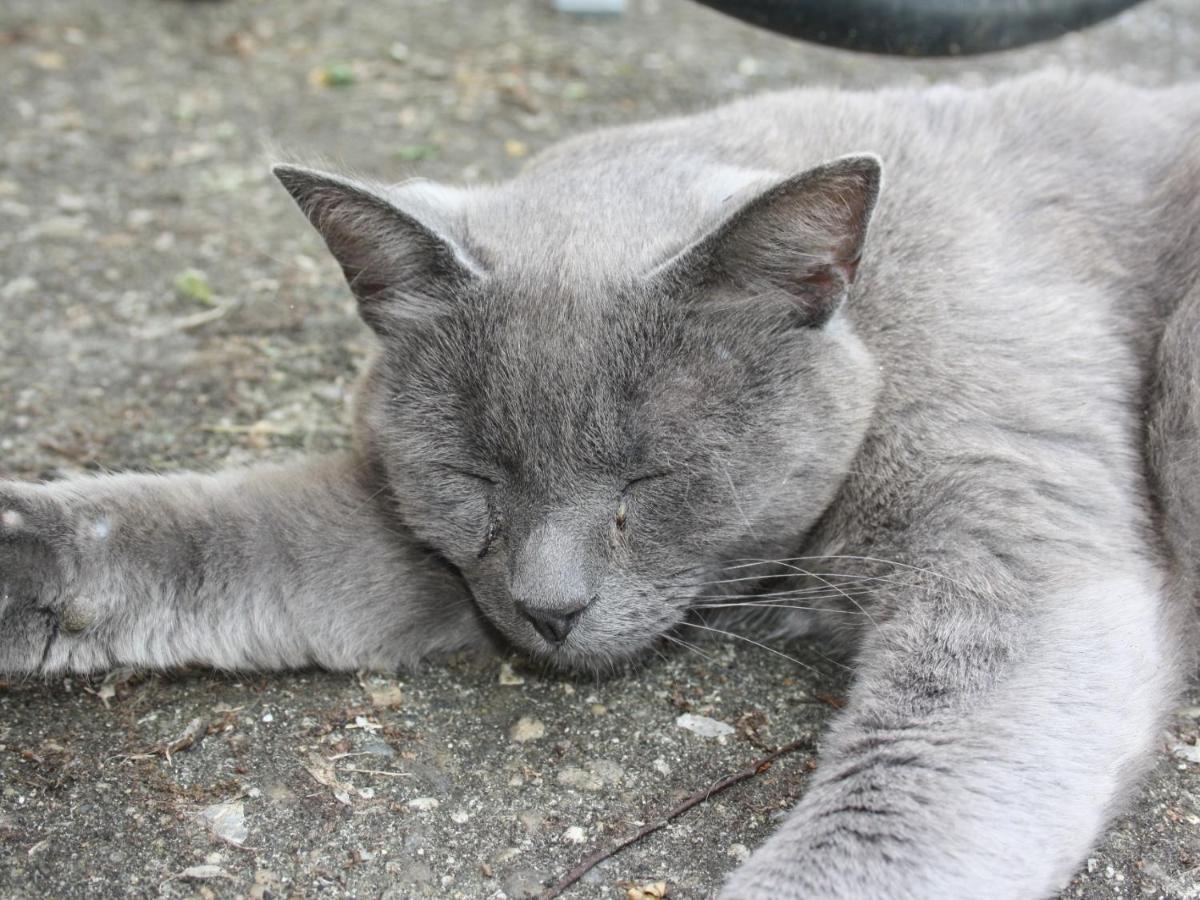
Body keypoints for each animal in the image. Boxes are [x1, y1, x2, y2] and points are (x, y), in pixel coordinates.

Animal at [2, 72, 1200, 900]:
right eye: (472, 478)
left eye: (652, 480)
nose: (551, 608)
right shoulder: (421, 545)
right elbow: (217, 535)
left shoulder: (1012, 545)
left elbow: (898, 801)